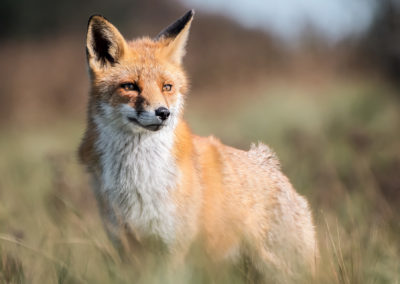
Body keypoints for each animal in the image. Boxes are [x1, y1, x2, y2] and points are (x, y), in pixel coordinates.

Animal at [79, 9, 318, 282]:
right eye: (130, 86)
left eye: (167, 87)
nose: (163, 113)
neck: (137, 179)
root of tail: (273, 167)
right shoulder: (126, 247)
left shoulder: (173, 247)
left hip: (280, 269)